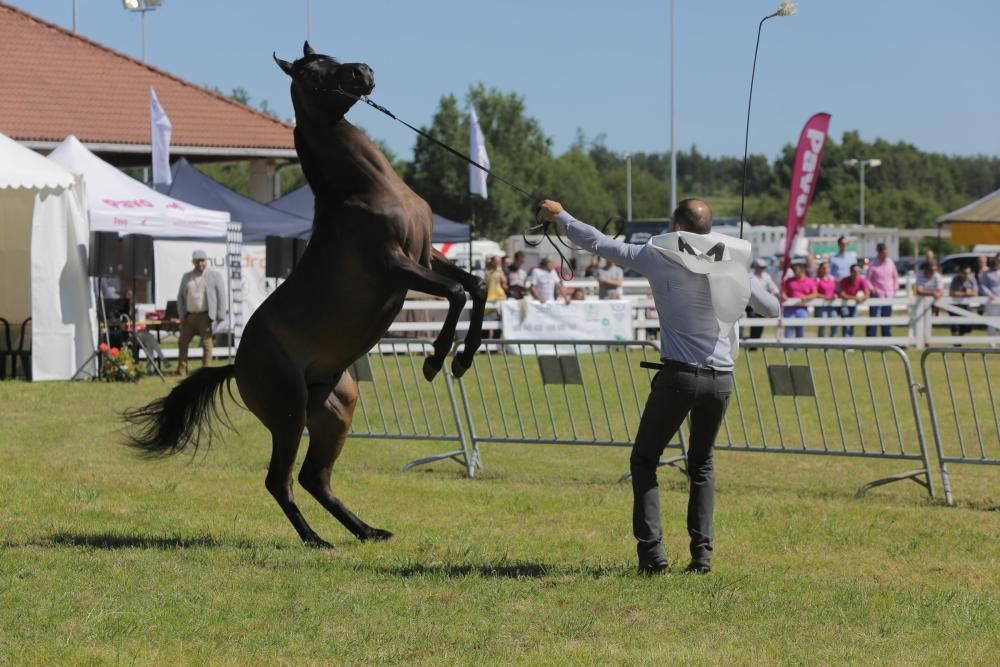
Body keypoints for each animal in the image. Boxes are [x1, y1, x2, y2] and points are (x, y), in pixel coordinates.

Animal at [127, 43, 486, 548]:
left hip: (336, 411)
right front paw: (437, 360)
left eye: (332, 58)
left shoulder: (428, 257)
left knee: (315, 478)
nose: (363, 72)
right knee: (280, 480)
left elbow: (475, 286)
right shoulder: (395, 266)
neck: (366, 188)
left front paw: (463, 357)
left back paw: (368, 531)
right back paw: (317, 540)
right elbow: (455, 293)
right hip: (289, 414)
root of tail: (236, 365)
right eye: (312, 74)